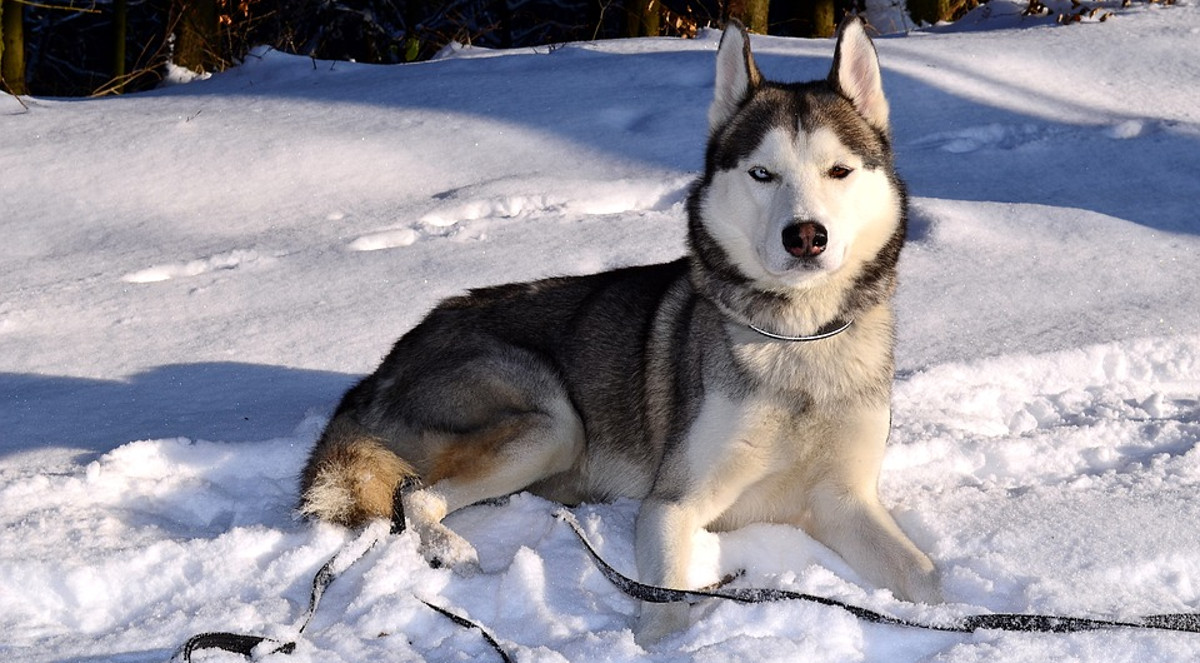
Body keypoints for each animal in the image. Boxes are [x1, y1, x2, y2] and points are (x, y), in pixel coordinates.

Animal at [297, 16, 936, 643]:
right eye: (762, 173)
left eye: (839, 171)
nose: (805, 235)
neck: (799, 341)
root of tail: (381, 371)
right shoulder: (672, 504)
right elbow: (665, 609)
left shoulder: (842, 501)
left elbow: (927, 578)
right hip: (553, 423)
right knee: (416, 498)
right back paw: (449, 549)